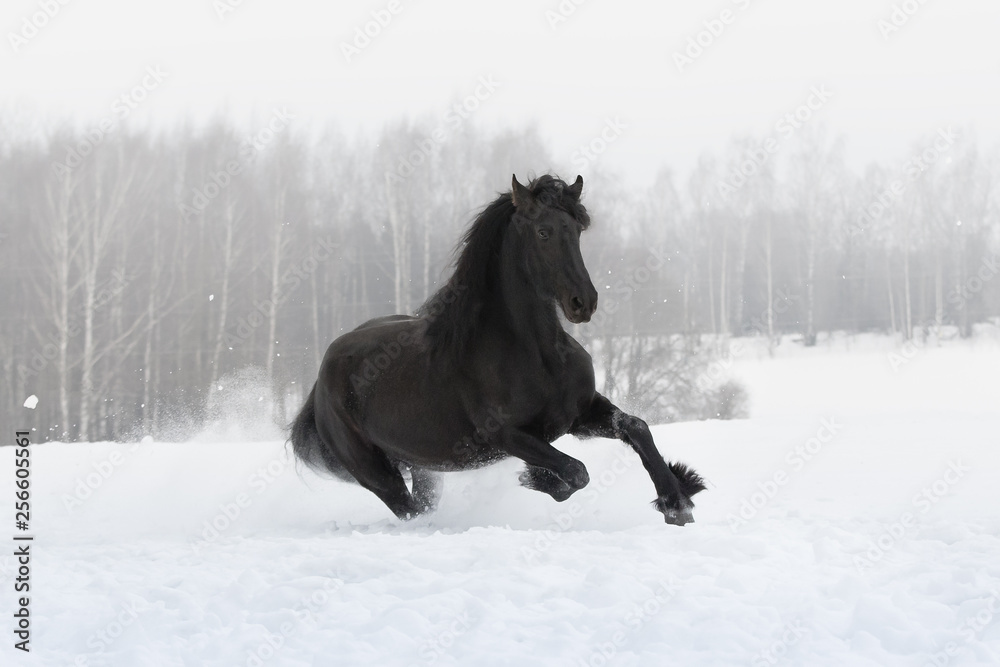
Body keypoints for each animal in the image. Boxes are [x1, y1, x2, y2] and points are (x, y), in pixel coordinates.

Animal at [292, 174, 704, 528]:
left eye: (577, 231)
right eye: (543, 231)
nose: (583, 303)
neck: (536, 355)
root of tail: (321, 377)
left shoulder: (579, 412)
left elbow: (636, 427)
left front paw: (678, 501)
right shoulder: (506, 436)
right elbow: (575, 472)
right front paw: (539, 480)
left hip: (422, 466)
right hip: (375, 472)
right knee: (409, 510)